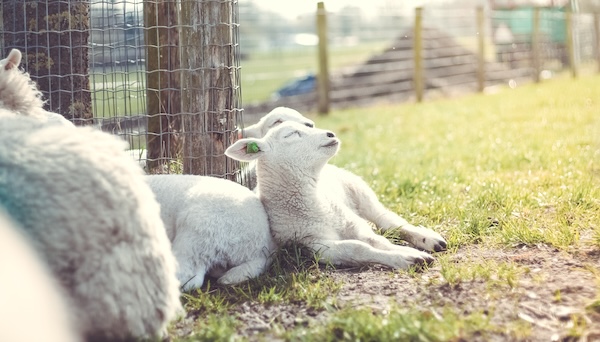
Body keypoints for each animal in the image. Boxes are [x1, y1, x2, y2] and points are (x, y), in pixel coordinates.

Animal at [225, 122, 440, 270]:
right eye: (291, 134)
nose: (331, 134)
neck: (315, 206)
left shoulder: (352, 223)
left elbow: (377, 241)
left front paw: (409, 252)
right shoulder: (315, 245)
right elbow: (358, 248)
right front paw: (407, 258)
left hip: (359, 190)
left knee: (388, 221)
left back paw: (429, 239)